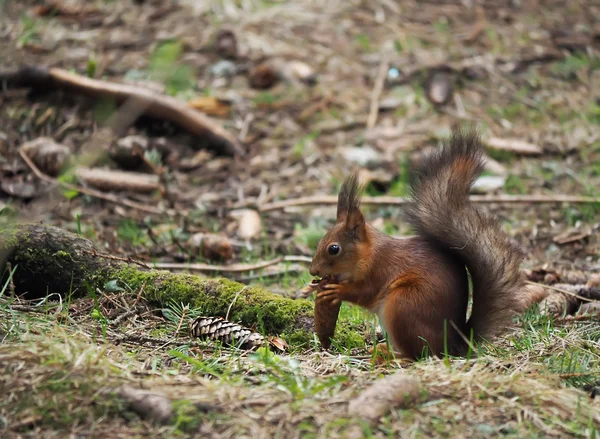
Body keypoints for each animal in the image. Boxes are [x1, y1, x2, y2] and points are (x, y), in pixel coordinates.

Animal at [310, 128, 528, 360]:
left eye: (334, 249)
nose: (313, 271)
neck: (367, 253)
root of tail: (452, 345)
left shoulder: (379, 269)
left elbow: (365, 292)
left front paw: (336, 291)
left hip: (404, 305)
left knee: (418, 355)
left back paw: (390, 357)